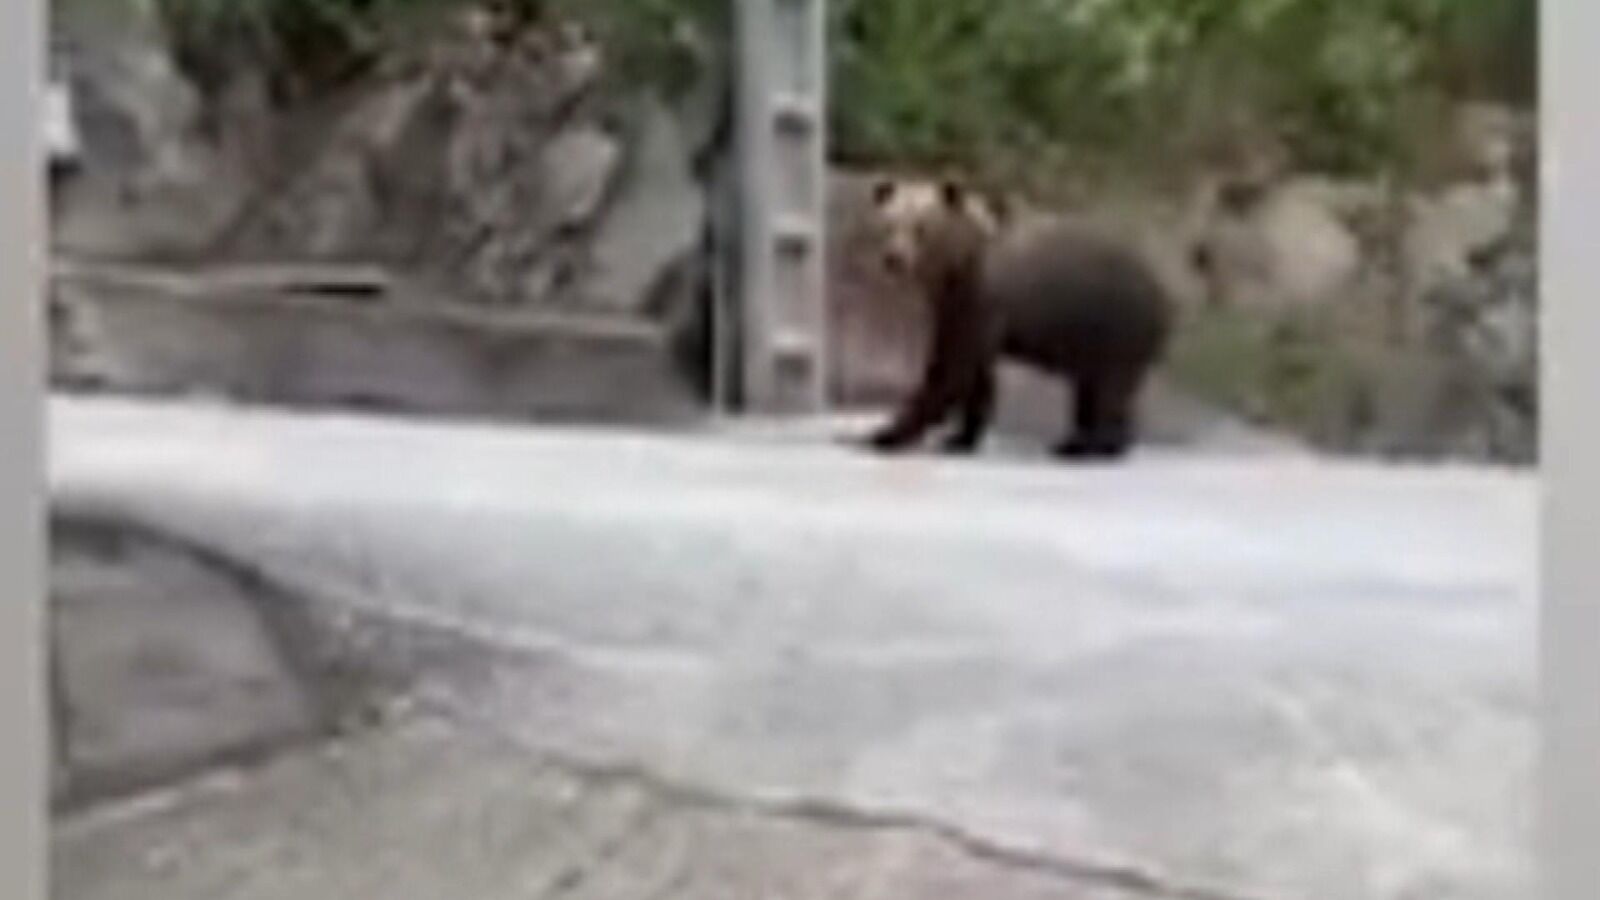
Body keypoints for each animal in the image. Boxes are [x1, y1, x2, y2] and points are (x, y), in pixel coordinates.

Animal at [860, 177, 1174, 460]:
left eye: (922, 228)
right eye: (888, 225)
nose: (894, 259)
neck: (959, 264)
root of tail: (1165, 295)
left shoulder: (983, 297)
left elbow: (952, 368)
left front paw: (885, 434)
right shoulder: (955, 307)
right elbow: (975, 373)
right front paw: (960, 438)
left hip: (1117, 325)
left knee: (1110, 388)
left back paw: (1094, 447)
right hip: (1098, 338)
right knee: (1092, 389)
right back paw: (1077, 442)